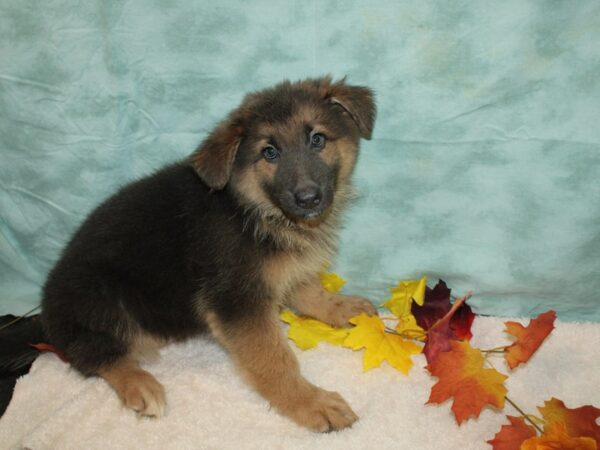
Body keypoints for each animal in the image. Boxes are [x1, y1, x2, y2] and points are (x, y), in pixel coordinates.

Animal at [42, 77, 378, 432]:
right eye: (269, 152)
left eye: (317, 139)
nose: (309, 198)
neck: (252, 209)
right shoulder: (238, 300)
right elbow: (275, 359)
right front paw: (309, 402)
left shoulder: (285, 269)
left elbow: (310, 291)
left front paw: (340, 307)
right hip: (97, 295)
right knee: (93, 355)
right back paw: (139, 383)